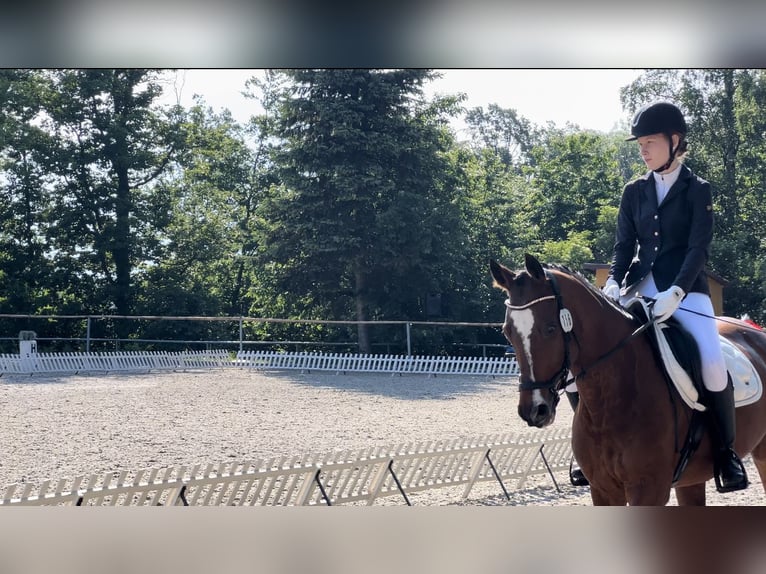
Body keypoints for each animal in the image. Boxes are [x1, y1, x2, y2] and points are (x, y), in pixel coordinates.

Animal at [488, 254, 766, 506]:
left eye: (550, 329)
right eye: (507, 331)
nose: (535, 410)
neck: (610, 399)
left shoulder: (649, 490)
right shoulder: (602, 490)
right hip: (692, 479)